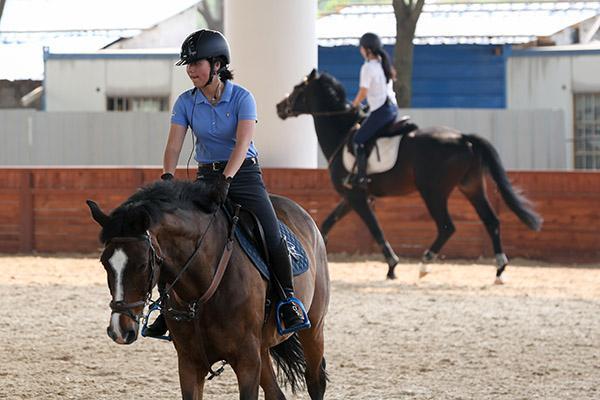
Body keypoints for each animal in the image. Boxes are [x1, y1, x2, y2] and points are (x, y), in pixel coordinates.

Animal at [86, 180, 330, 398]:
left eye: (143, 264)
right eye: (104, 263)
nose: (119, 330)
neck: (200, 293)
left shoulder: (247, 362)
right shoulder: (189, 363)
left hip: (313, 328)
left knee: (315, 381)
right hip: (262, 347)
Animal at [278, 70, 540, 286]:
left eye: (298, 88)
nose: (279, 106)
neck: (341, 134)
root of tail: (463, 137)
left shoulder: (356, 197)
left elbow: (375, 229)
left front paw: (392, 267)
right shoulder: (352, 197)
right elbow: (327, 223)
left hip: (433, 192)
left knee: (447, 226)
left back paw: (425, 265)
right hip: (472, 187)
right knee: (491, 221)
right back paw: (499, 270)